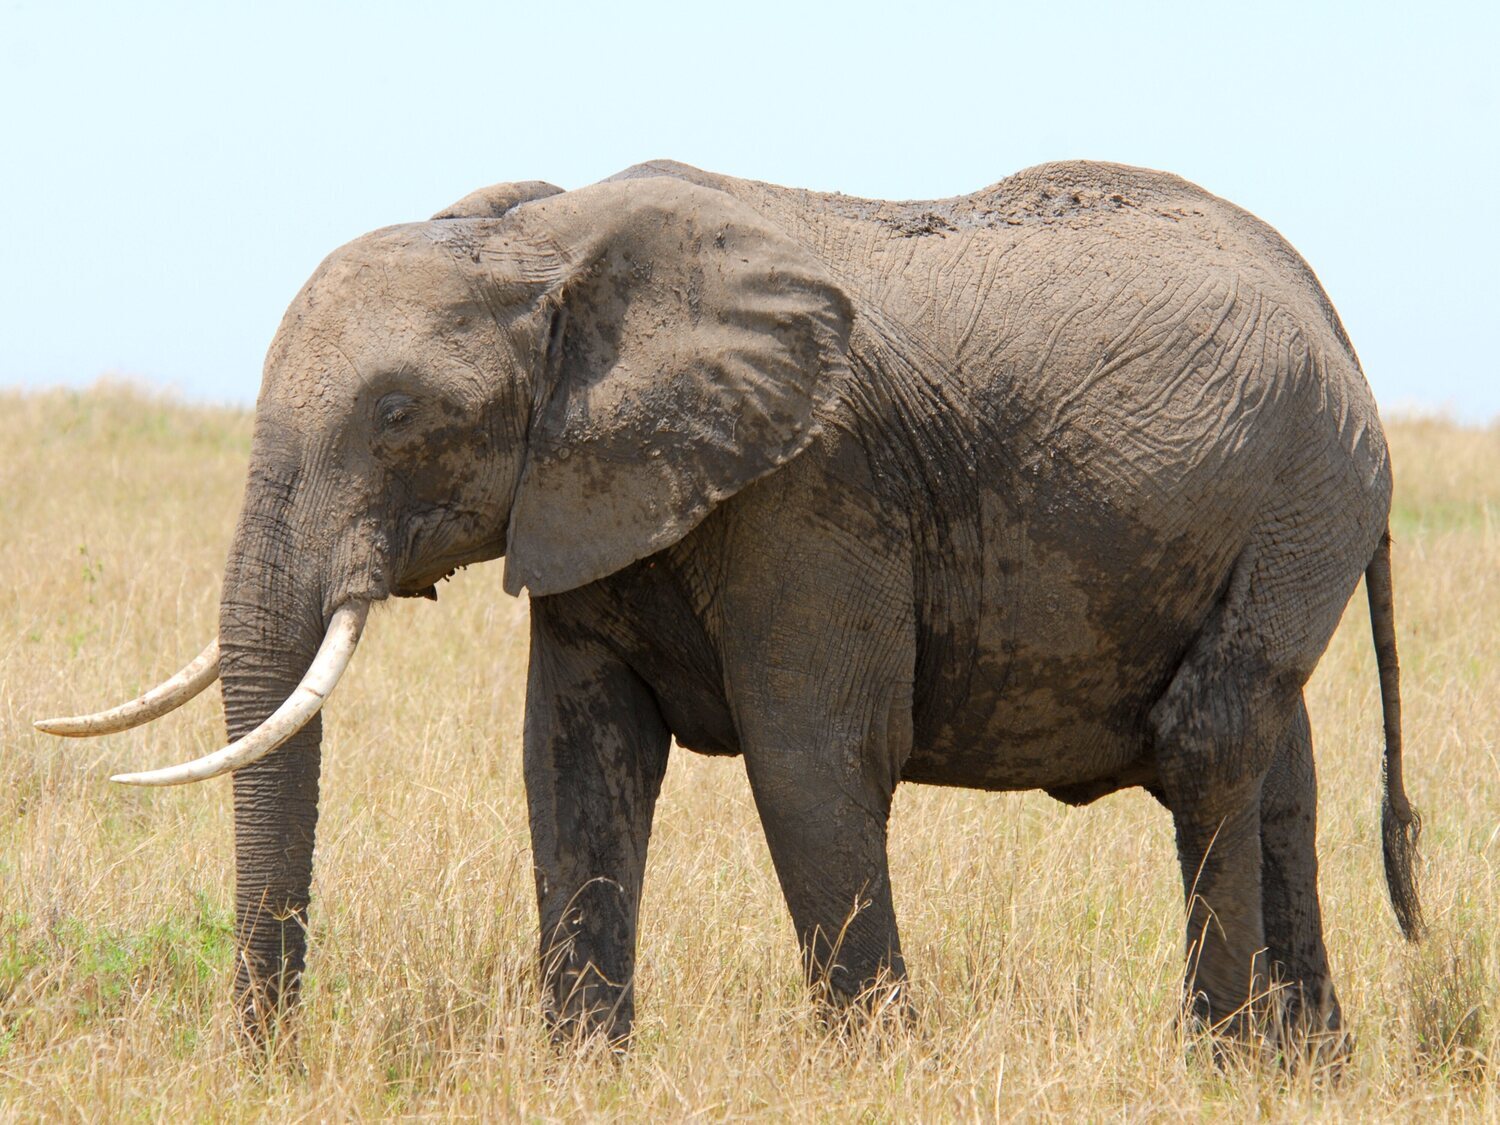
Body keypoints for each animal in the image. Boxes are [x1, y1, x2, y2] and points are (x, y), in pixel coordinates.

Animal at [35, 160, 1416, 1056]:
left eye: (398, 414)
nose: (267, 1060)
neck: (543, 244)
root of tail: (1333, 313)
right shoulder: (586, 493)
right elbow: (572, 760)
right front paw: (585, 1074)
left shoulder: (813, 488)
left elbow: (811, 761)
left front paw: (878, 1076)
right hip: (1293, 515)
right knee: (1283, 769)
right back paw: (1309, 1068)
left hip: (1307, 490)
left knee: (1211, 741)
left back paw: (1221, 1058)